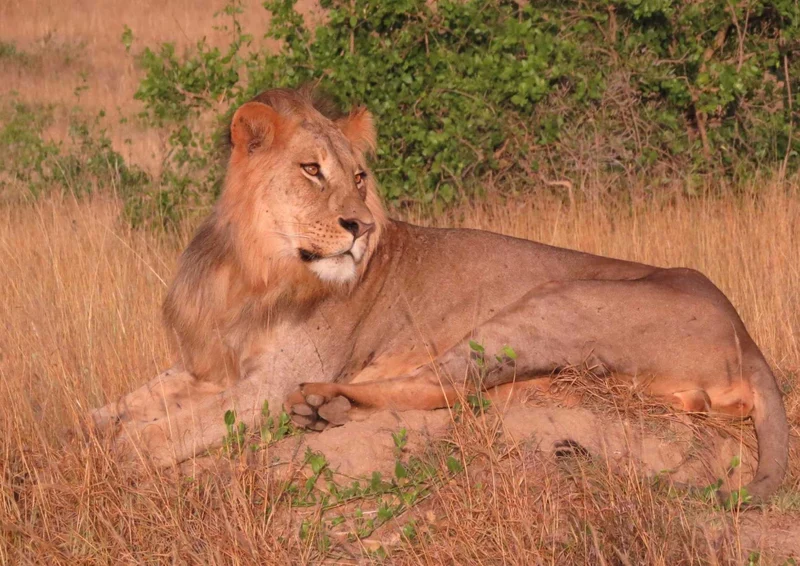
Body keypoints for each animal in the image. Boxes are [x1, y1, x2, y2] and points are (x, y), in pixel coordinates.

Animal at [92, 87, 788, 500]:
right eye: (312, 170)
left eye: (360, 177)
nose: (360, 227)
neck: (255, 270)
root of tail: (749, 339)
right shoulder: (209, 363)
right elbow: (119, 407)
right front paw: (97, 428)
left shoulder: (272, 378)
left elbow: (175, 428)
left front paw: (120, 455)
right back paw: (322, 413)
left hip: (545, 306)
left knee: (434, 387)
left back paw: (321, 405)